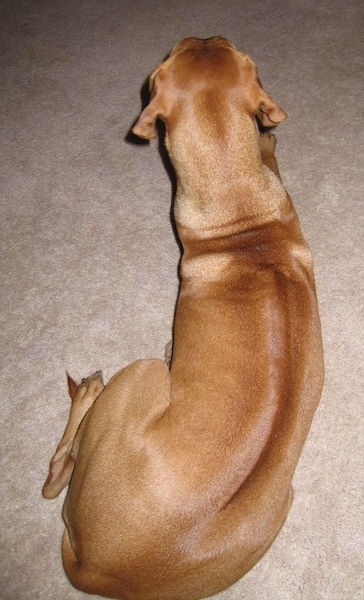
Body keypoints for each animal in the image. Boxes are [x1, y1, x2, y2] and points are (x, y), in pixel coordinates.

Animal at [42, 38, 324, 600]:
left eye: (166, 60)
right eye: (224, 47)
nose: (201, 36)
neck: (243, 220)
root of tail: (97, 570)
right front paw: (268, 142)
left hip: (141, 373)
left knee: (57, 471)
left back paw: (92, 388)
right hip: (280, 507)